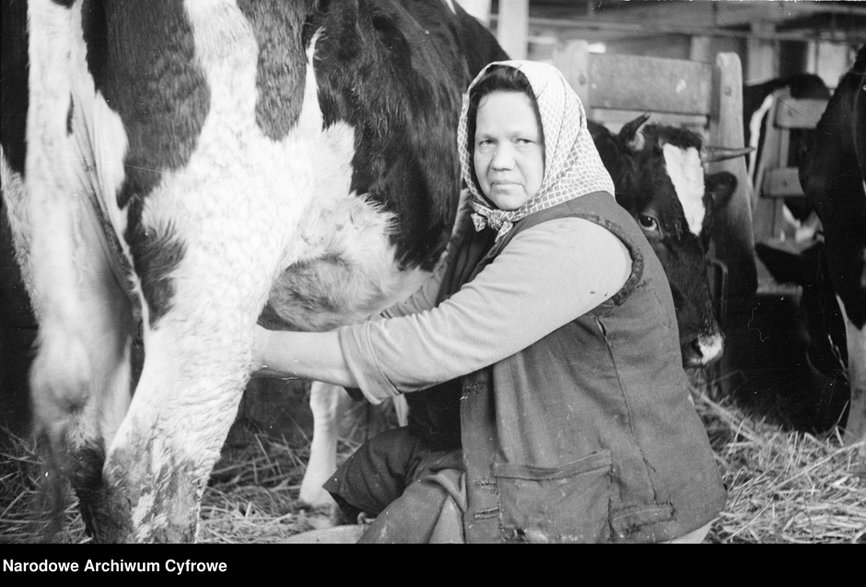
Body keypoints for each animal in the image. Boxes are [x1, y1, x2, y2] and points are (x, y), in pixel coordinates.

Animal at [1, 0, 506, 548]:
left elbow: (333, 383)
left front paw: (318, 495)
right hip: (215, 276)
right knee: (150, 481)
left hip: (68, 254)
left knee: (86, 455)